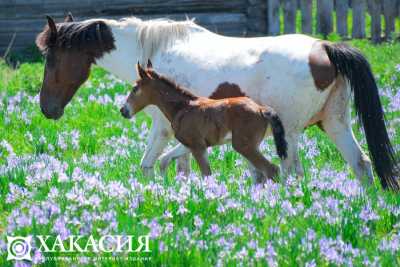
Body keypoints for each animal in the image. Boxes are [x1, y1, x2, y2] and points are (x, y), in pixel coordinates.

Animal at [120, 61, 286, 183]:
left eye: (135, 88)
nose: (123, 110)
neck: (183, 107)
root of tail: (261, 109)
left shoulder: (197, 146)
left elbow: (206, 174)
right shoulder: (190, 144)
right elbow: (164, 160)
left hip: (243, 146)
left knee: (271, 170)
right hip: (252, 146)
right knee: (263, 174)